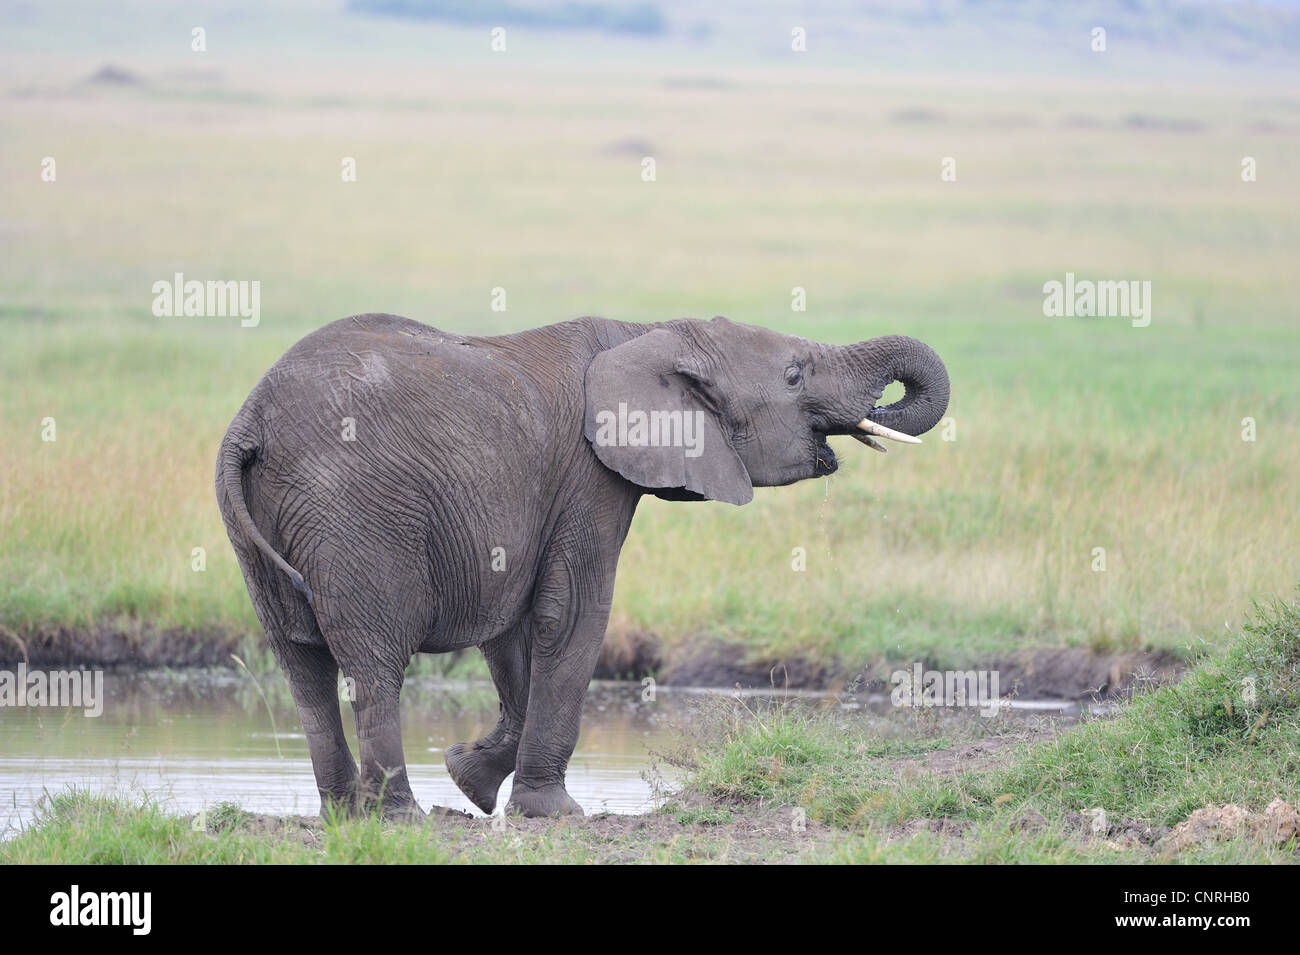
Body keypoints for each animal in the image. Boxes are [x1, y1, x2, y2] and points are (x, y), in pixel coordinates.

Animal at [215, 313, 949, 819]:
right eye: (794, 374)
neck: (650, 332)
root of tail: (250, 421)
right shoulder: (589, 478)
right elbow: (571, 615)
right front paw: (556, 814)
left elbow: (515, 625)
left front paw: (469, 778)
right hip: (357, 516)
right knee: (371, 667)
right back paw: (400, 818)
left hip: (264, 531)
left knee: (303, 668)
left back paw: (346, 814)